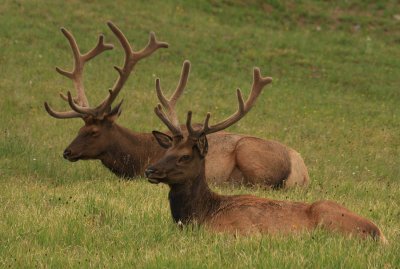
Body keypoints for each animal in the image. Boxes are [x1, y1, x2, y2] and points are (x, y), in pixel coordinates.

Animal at [145, 66, 388, 242]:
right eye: (167, 149)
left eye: (185, 156)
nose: (150, 170)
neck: (203, 214)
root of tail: (377, 233)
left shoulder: (242, 230)